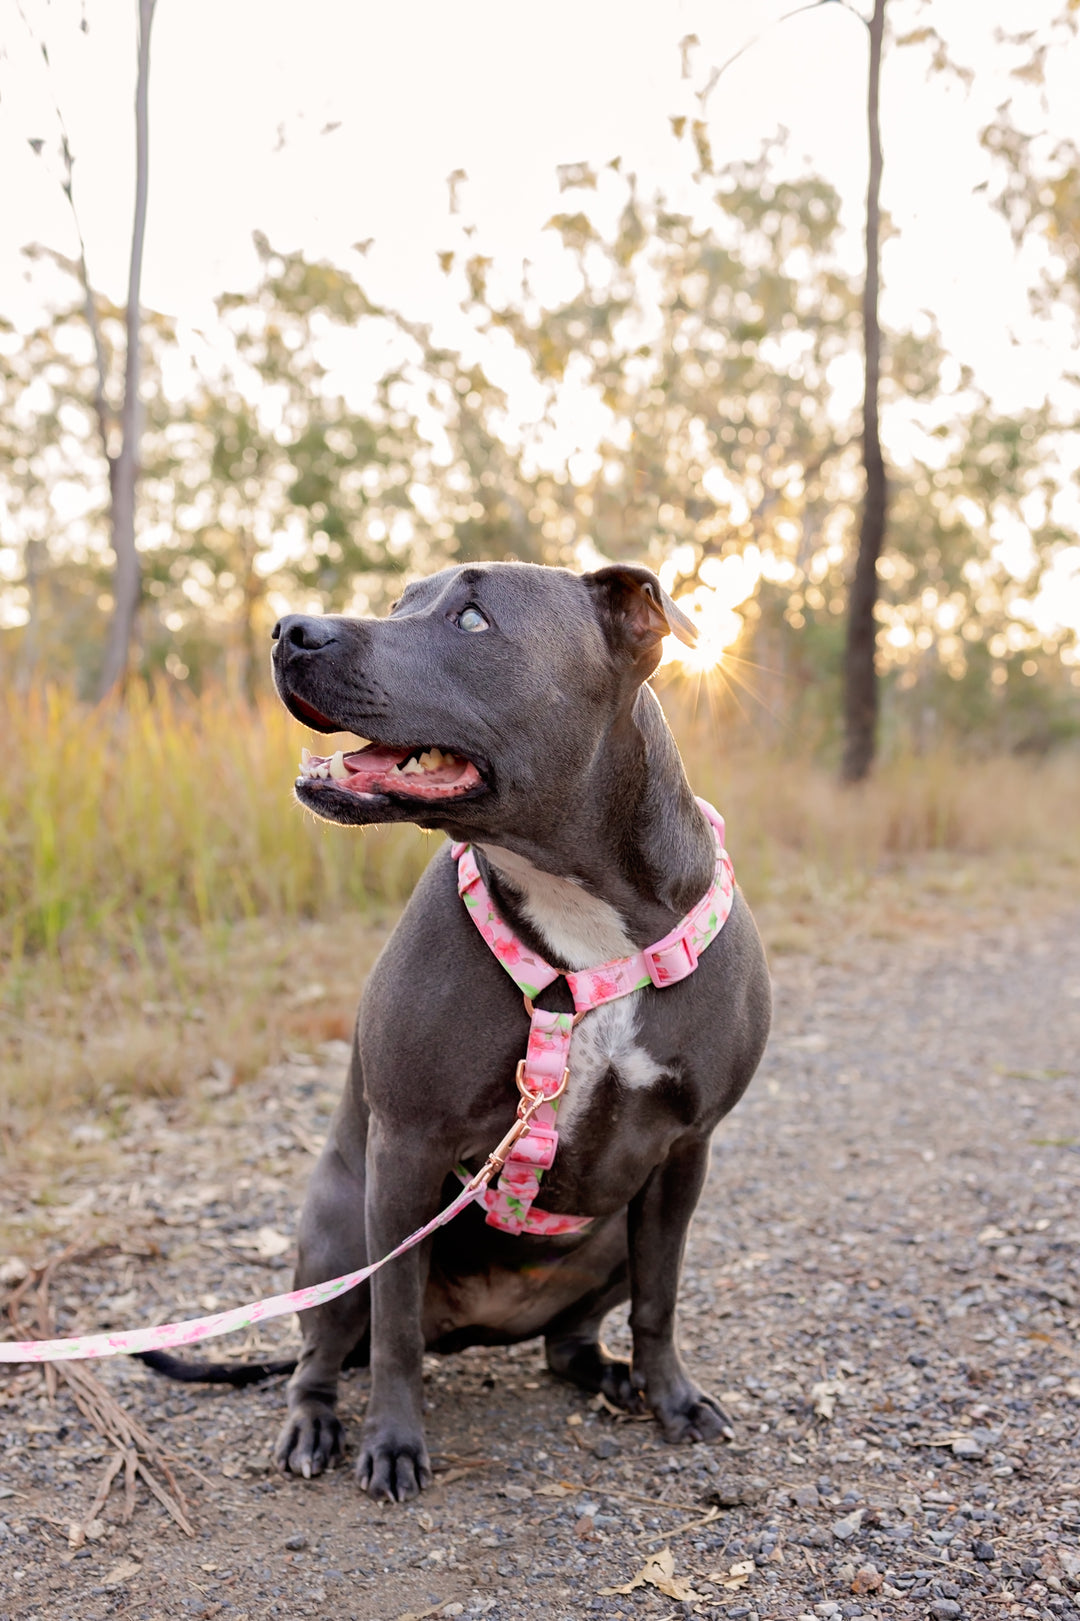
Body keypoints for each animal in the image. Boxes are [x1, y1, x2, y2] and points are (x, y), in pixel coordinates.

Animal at [142, 564, 768, 1497]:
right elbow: (397, 1324)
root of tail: (480, 1324)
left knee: (567, 1342)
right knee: (326, 1352)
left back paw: (611, 1374)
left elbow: (662, 1298)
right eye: (400, 603)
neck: (576, 905)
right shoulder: (406, 1147)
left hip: (612, 1233)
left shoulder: (687, 1150)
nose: (290, 629)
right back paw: (314, 1424)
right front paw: (394, 1440)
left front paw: (673, 1397)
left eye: (471, 618)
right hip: (338, 1231)